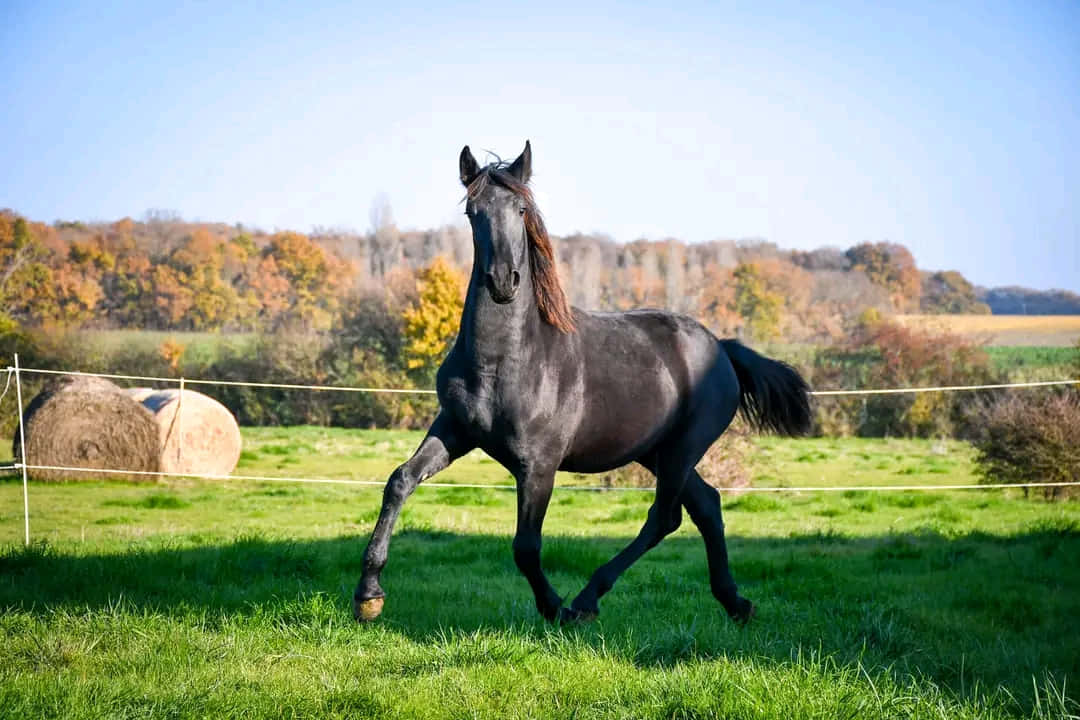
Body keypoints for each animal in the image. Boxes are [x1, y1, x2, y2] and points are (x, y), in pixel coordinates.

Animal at [354, 141, 812, 625]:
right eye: (472, 211)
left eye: (520, 209)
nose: (502, 281)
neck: (505, 362)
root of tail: (721, 347)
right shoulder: (455, 431)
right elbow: (400, 481)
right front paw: (369, 595)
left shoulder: (538, 465)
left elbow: (526, 546)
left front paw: (555, 608)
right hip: (657, 450)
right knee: (706, 504)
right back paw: (734, 602)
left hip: (683, 447)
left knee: (664, 517)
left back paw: (588, 599)